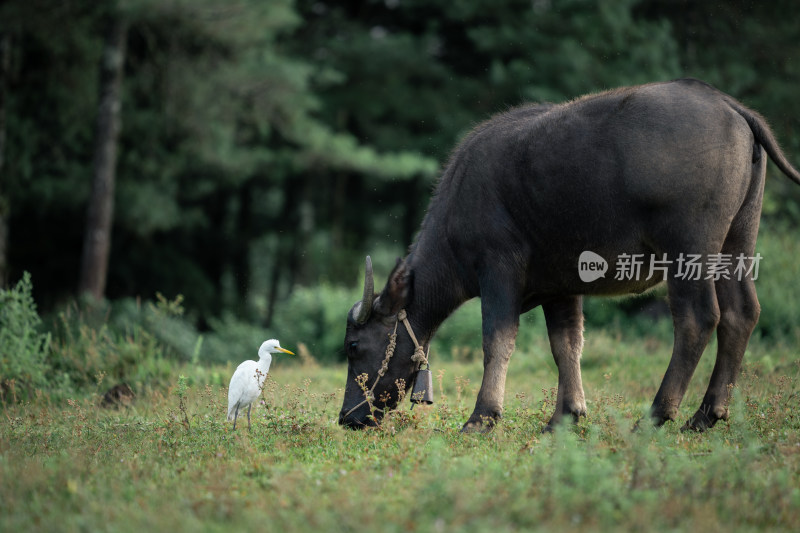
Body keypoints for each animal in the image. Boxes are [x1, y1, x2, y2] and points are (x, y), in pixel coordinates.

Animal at [338, 78, 800, 432]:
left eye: (354, 346)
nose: (347, 417)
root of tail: (728, 104)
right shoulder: (561, 285)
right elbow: (567, 343)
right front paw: (566, 415)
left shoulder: (498, 269)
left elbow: (497, 340)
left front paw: (482, 417)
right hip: (737, 242)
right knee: (741, 313)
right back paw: (706, 414)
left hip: (689, 249)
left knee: (698, 318)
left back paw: (656, 414)